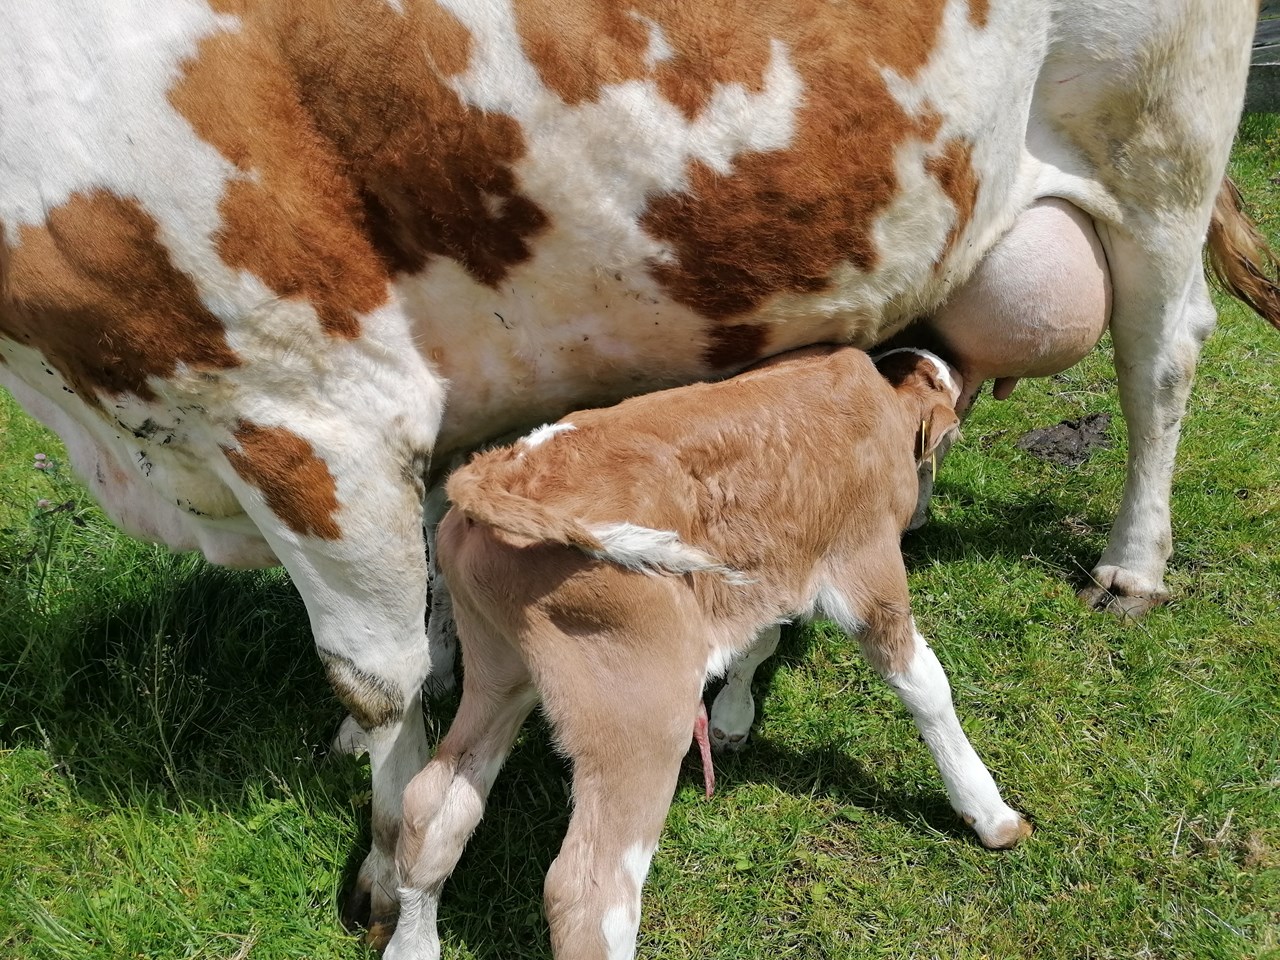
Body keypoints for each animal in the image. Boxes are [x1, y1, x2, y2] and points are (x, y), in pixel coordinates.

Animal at [1, 0, 1276, 947]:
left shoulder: (310, 408)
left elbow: (375, 673)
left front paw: (373, 860)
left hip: (1155, 141)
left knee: (1160, 357)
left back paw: (1130, 564)